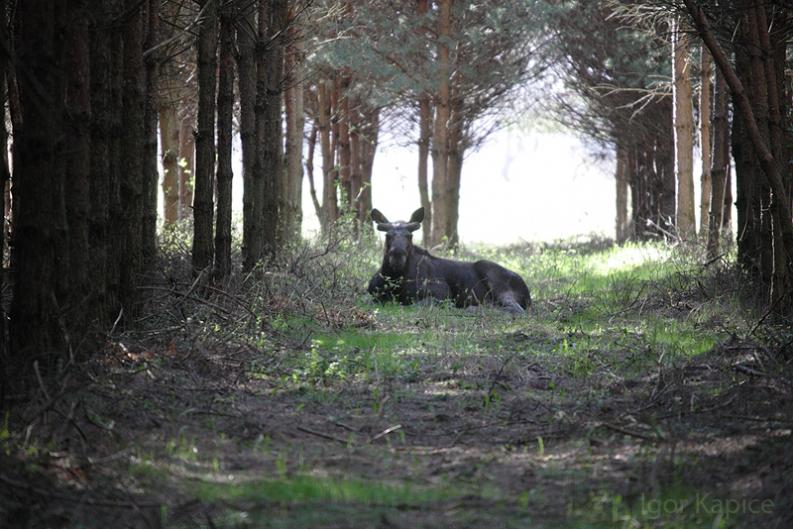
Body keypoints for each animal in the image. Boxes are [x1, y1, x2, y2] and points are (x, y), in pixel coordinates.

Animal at [366, 206, 532, 314]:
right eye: (388, 235)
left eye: (410, 236)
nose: (397, 255)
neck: (395, 278)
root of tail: (528, 294)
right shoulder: (372, 295)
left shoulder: (442, 293)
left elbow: (416, 304)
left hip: (493, 277)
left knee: (515, 309)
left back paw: (472, 309)